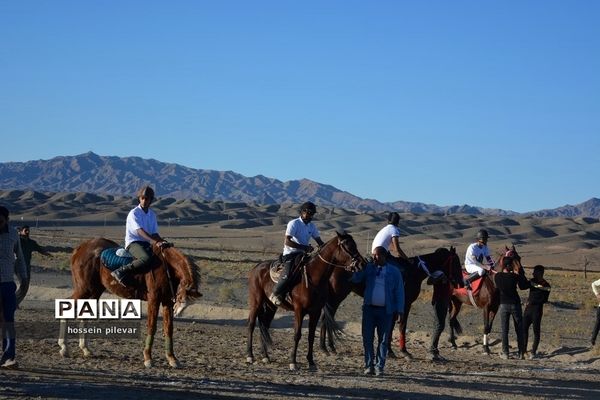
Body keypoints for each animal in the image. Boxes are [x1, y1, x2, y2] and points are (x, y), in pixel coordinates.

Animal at [56, 238, 202, 368]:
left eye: (189, 304)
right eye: (181, 298)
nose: (178, 313)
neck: (166, 266)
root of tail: (80, 248)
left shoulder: (167, 301)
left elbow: (169, 328)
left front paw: (172, 359)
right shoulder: (154, 299)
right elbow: (151, 327)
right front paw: (148, 359)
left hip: (94, 291)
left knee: (84, 314)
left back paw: (85, 349)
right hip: (84, 289)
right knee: (65, 307)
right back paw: (64, 348)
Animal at [246, 231, 364, 372]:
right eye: (348, 246)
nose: (362, 263)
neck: (314, 277)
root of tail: (256, 268)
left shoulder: (315, 311)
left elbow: (311, 336)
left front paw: (311, 362)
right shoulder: (299, 310)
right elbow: (297, 335)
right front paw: (293, 362)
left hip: (270, 306)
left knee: (265, 325)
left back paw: (265, 356)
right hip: (256, 302)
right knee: (251, 325)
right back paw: (250, 356)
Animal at [318, 247, 464, 360]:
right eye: (456, 262)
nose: (461, 283)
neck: (414, 271)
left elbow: (390, 327)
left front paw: (389, 351)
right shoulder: (405, 304)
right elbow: (401, 326)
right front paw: (404, 352)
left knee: (327, 318)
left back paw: (328, 347)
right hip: (336, 297)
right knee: (326, 318)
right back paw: (325, 348)